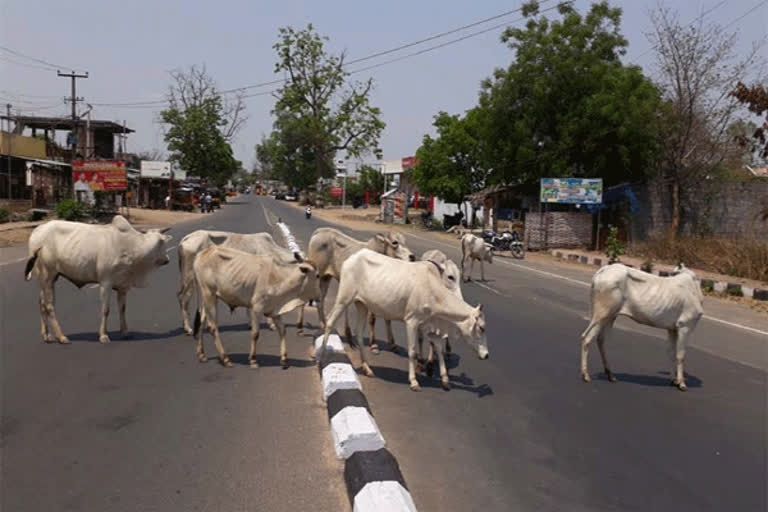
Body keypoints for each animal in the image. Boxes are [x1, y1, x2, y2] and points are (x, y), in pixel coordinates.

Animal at [25, 216, 174, 344]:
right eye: (163, 244)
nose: (167, 260)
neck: (132, 246)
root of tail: (37, 232)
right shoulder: (105, 283)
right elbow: (105, 309)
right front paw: (103, 335)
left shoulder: (123, 286)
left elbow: (122, 309)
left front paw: (125, 332)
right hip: (48, 275)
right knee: (49, 306)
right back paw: (61, 337)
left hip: (45, 278)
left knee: (41, 304)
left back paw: (46, 335)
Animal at [316, 250, 486, 390]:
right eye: (482, 328)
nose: (486, 355)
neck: (433, 289)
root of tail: (351, 258)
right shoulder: (412, 321)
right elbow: (412, 351)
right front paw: (414, 381)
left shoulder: (428, 324)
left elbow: (438, 348)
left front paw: (444, 379)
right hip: (344, 298)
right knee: (330, 322)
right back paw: (321, 360)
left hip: (362, 305)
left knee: (358, 332)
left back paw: (367, 368)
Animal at [584, 262, 704, 390]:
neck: (694, 289)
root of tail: (603, 270)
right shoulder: (685, 326)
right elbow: (680, 355)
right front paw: (681, 383)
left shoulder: (672, 329)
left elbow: (672, 354)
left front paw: (673, 380)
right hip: (601, 314)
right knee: (586, 337)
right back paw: (585, 375)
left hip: (610, 316)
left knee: (601, 340)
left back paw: (610, 375)